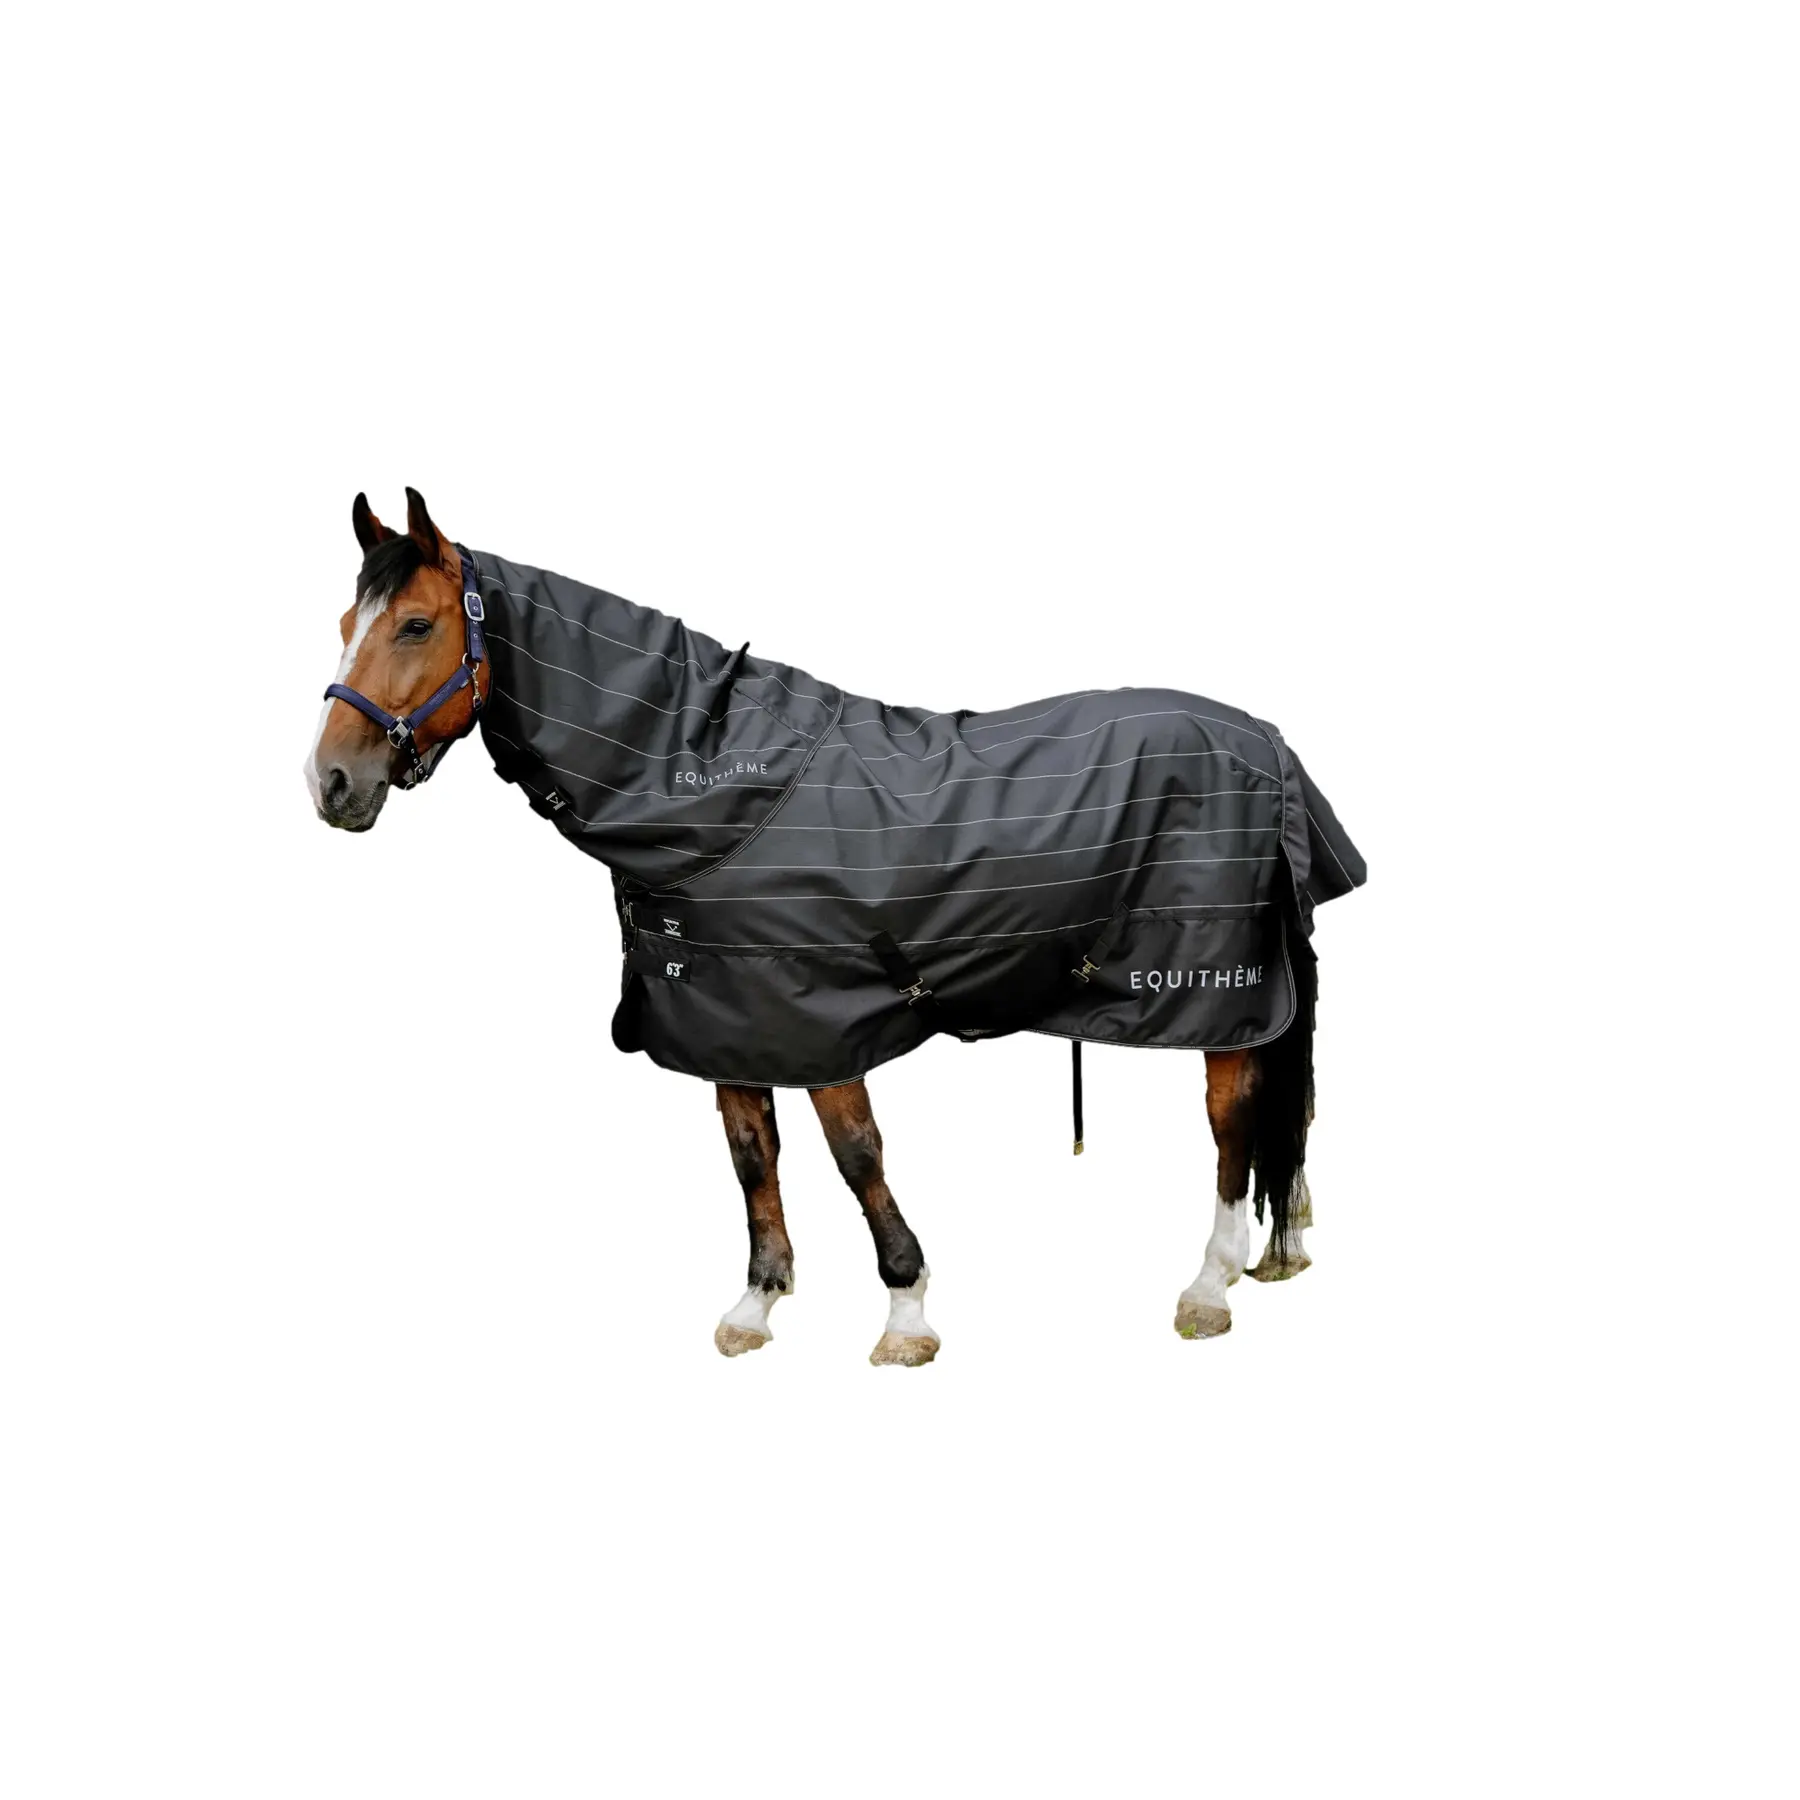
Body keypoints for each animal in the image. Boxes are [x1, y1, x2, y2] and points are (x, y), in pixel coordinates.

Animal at [306, 489, 1365, 1365]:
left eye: (416, 624)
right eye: (346, 625)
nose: (331, 784)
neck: (713, 788)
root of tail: (1268, 742)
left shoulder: (822, 1022)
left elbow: (858, 1159)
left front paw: (906, 1313)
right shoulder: (728, 1019)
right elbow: (752, 1159)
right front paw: (757, 1302)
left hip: (1212, 992)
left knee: (1233, 1121)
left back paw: (1211, 1283)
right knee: (1290, 1105)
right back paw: (1284, 1245)